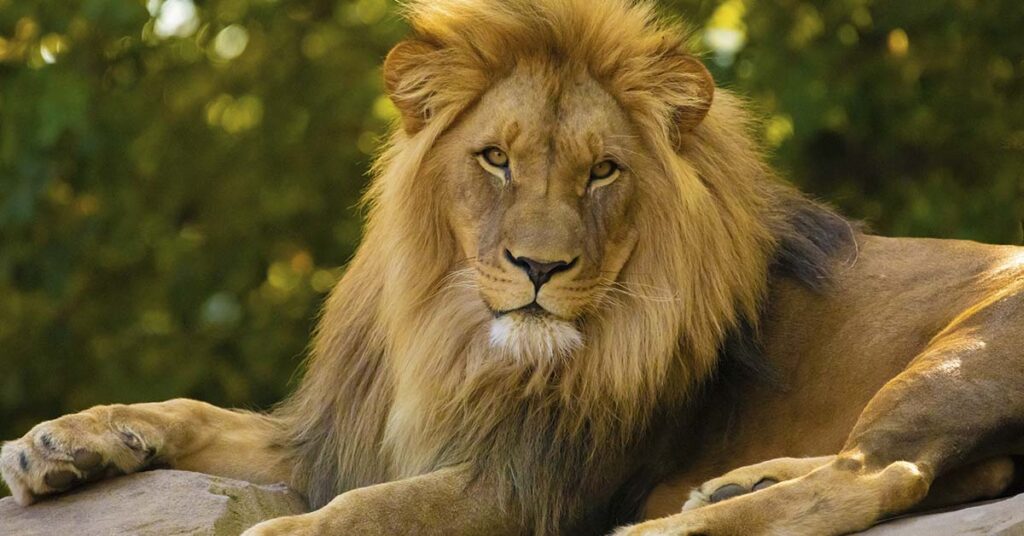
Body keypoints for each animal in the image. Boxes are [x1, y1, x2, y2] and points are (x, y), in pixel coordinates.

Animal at [3, 1, 1023, 535]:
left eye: (603, 171)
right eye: (495, 158)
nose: (538, 265)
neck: (458, 341)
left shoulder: (531, 484)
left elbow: (373, 510)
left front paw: (282, 529)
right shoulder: (342, 433)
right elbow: (198, 412)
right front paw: (63, 443)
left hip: (971, 339)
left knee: (881, 474)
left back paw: (671, 523)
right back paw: (738, 484)